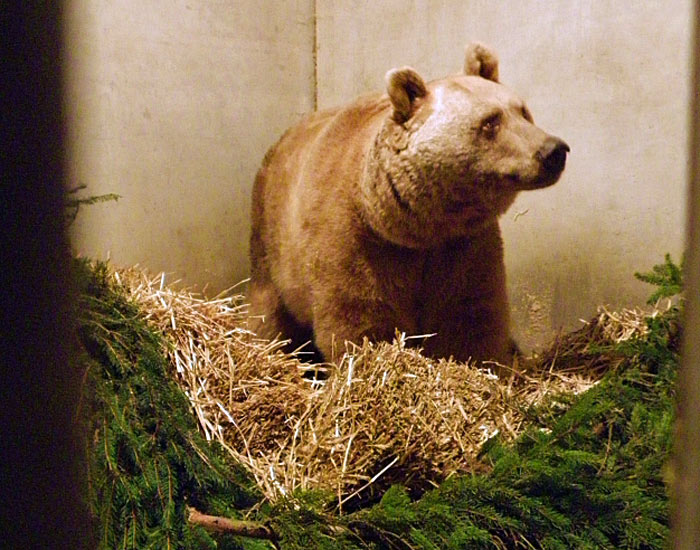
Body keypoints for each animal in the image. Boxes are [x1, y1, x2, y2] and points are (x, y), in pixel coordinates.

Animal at [248, 42, 569, 368]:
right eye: (490, 122)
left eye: (522, 111)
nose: (553, 150)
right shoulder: (356, 241)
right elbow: (362, 318)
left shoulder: (465, 247)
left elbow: (469, 315)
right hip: (270, 238)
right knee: (268, 305)